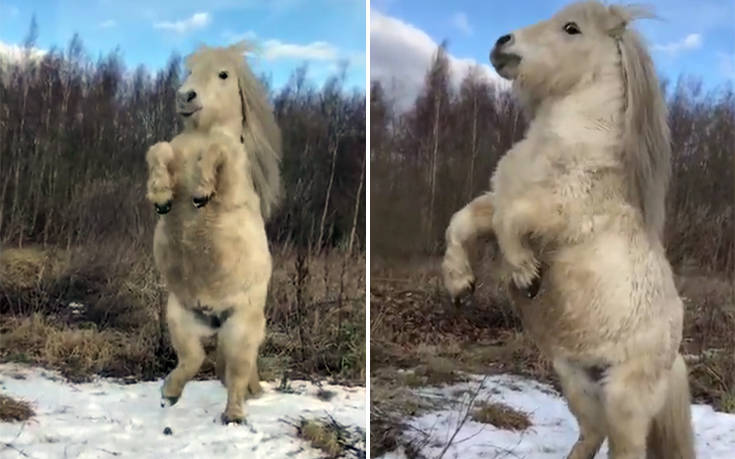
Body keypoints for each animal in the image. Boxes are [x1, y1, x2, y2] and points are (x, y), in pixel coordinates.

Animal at [144, 43, 282, 424]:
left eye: (223, 74)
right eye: (189, 71)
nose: (185, 96)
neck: (199, 137)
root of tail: (215, 319)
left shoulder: (233, 176)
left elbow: (220, 151)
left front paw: (201, 191)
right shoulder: (172, 148)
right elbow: (159, 148)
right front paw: (161, 196)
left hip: (240, 332)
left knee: (235, 375)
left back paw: (233, 415)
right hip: (180, 318)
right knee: (193, 359)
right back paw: (169, 393)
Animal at [442, 1, 696, 458]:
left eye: (571, 28)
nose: (501, 43)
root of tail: (673, 357)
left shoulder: (559, 215)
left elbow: (511, 222)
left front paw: (526, 276)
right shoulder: (498, 199)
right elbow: (464, 221)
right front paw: (459, 285)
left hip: (624, 401)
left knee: (623, 445)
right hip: (576, 379)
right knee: (593, 432)